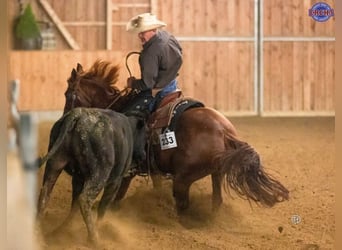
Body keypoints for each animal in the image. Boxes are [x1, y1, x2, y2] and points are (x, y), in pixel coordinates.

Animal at [37, 107, 147, 244]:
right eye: (145, 134)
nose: (144, 155)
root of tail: (78, 115)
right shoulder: (115, 181)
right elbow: (103, 207)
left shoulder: (78, 178)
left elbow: (74, 204)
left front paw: (65, 228)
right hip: (99, 175)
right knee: (85, 199)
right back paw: (95, 238)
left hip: (55, 163)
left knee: (45, 193)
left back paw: (37, 232)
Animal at [64, 60, 288, 213]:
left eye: (67, 95)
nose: (65, 116)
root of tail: (224, 132)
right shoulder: (154, 168)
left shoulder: (127, 170)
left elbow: (117, 196)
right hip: (215, 173)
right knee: (216, 201)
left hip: (183, 179)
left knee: (183, 205)